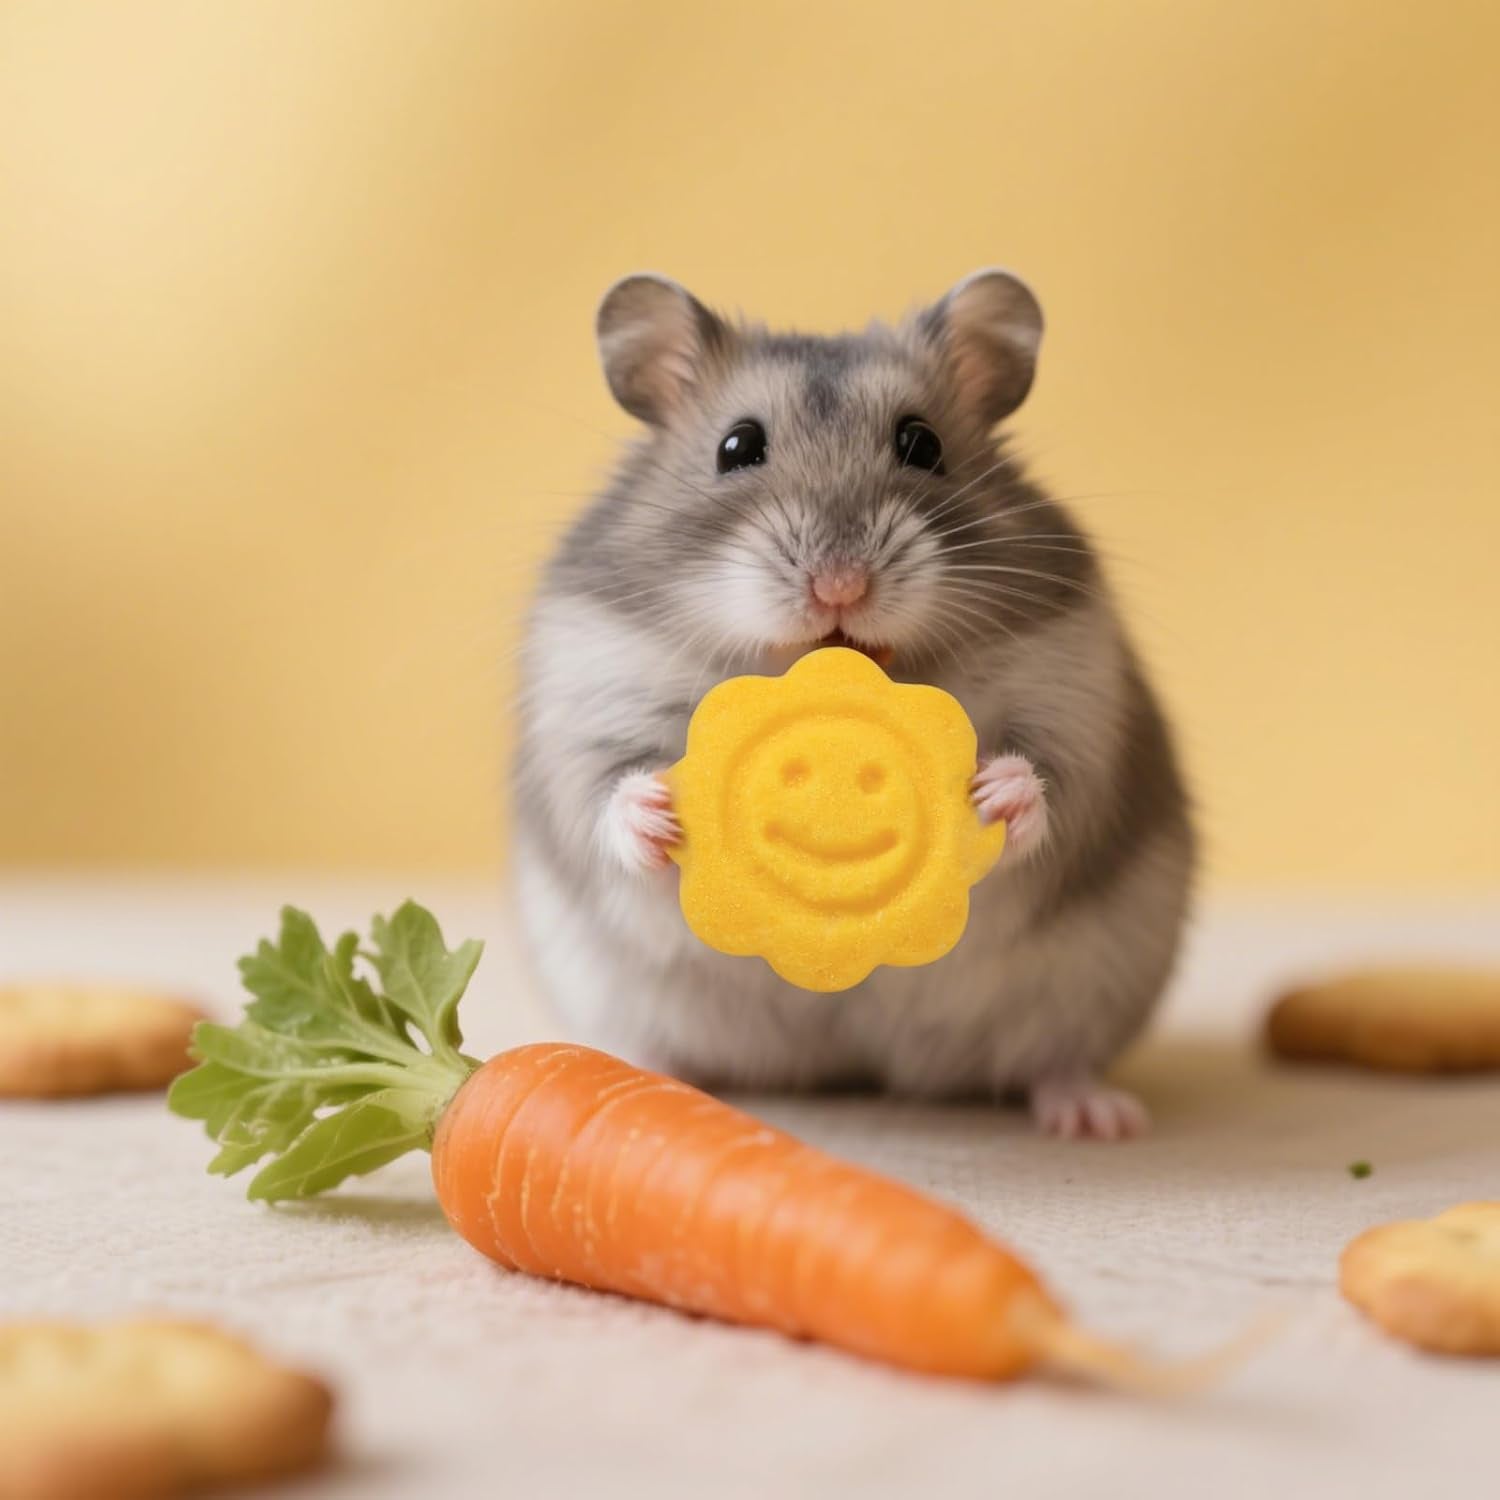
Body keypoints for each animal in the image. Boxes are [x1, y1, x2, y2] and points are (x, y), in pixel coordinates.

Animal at [511, 269, 1194, 1139]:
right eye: (737, 447)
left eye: (923, 445)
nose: (841, 584)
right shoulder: (592, 699)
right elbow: (607, 794)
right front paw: (660, 813)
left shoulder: (1076, 705)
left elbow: (1048, 787)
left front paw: (994, 794)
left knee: (1054, 1059)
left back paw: (1097, 1117)